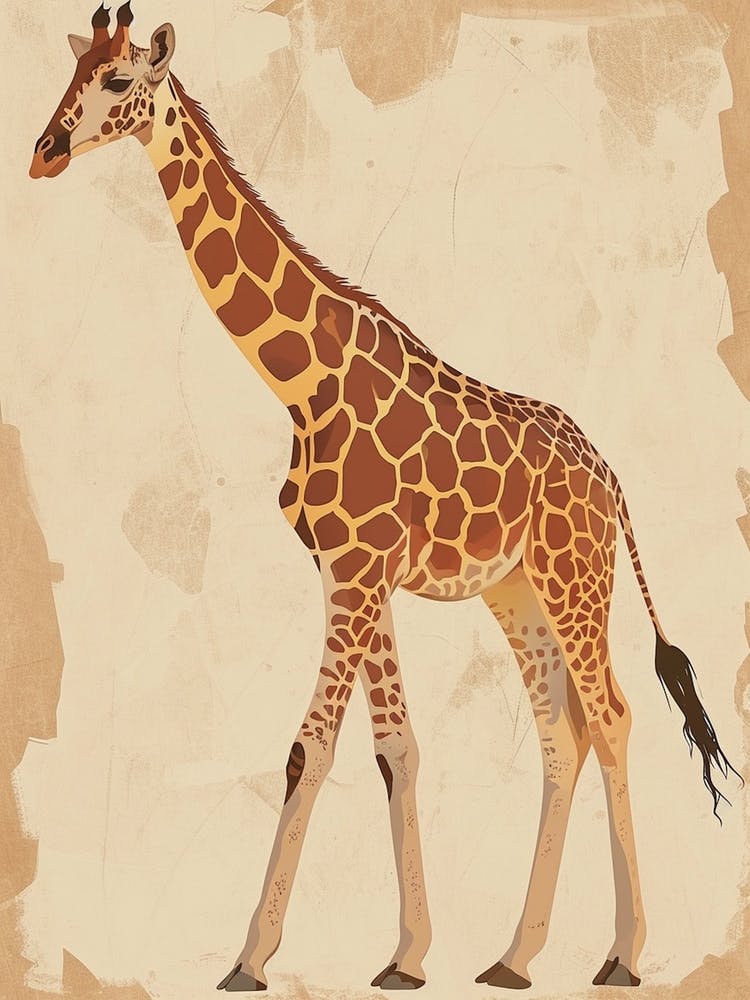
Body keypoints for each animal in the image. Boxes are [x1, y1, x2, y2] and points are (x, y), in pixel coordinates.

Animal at [30, 4, 739, 993]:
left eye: (121, 82)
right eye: (73, 73)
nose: (45, 151)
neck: (301, 381)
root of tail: (611, 479)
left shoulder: (361, 570)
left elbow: (310, 749)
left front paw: (250, 957)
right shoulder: (352, 571)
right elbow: (395, 747)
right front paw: (406, 954)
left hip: (577, 579)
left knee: (613, 717)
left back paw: (622, 954)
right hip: (516, 593)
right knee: (561, 734)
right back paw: (514, 956)